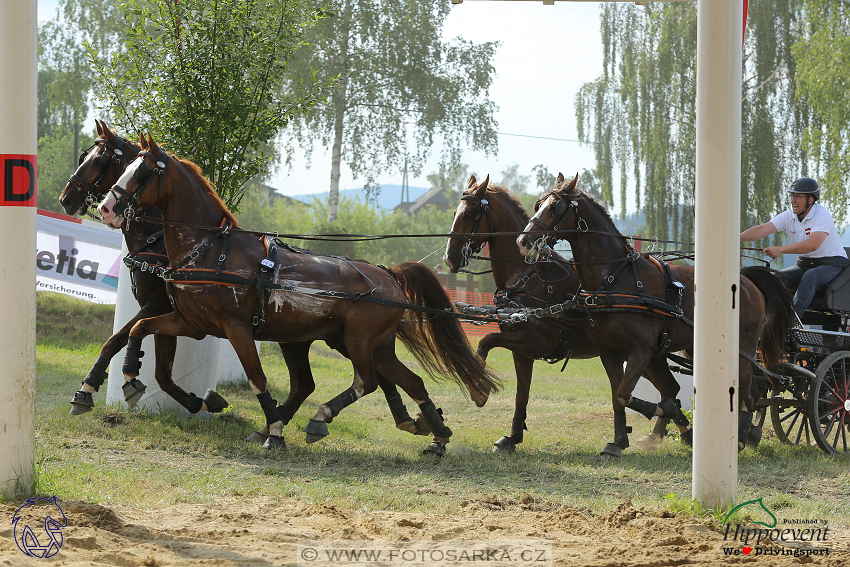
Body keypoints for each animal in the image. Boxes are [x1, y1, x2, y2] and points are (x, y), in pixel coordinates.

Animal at [97, 132, 496, 452]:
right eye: (126, 167)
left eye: (143, 172)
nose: (105, 208)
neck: (210, 250)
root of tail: (387, 275)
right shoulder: (191, 323)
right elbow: (139, 329)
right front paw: (131, 377)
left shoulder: (236, 329)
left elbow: (257, 378)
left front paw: (274, 429)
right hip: (366, 344)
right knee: (406, 380)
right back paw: (436, 434)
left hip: (358, 341)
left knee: (365, 381)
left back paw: (320, 418)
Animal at [444, 178, 688, 458]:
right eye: (455, 212)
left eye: (469, 214)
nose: (449, 258)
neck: (527, 275)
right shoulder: (521, 351)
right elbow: (521, 394)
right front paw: (513, 436)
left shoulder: (536, 342)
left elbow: (487, 341)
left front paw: (479, 389)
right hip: (651, 356)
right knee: (670, 389)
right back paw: (678, 432)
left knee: (666, 389)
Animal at [516, 173, 796, 452]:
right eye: (538, 204)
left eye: (554, 207)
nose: (523, 241)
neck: (615, 277)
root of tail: (746, 279)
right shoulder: (609, 352)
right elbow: (618, 396)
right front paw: (618, 442)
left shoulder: (641, 350)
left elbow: (626, 393)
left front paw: (664, 412)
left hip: (743, 349)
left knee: (750, 393)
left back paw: (741, 437)